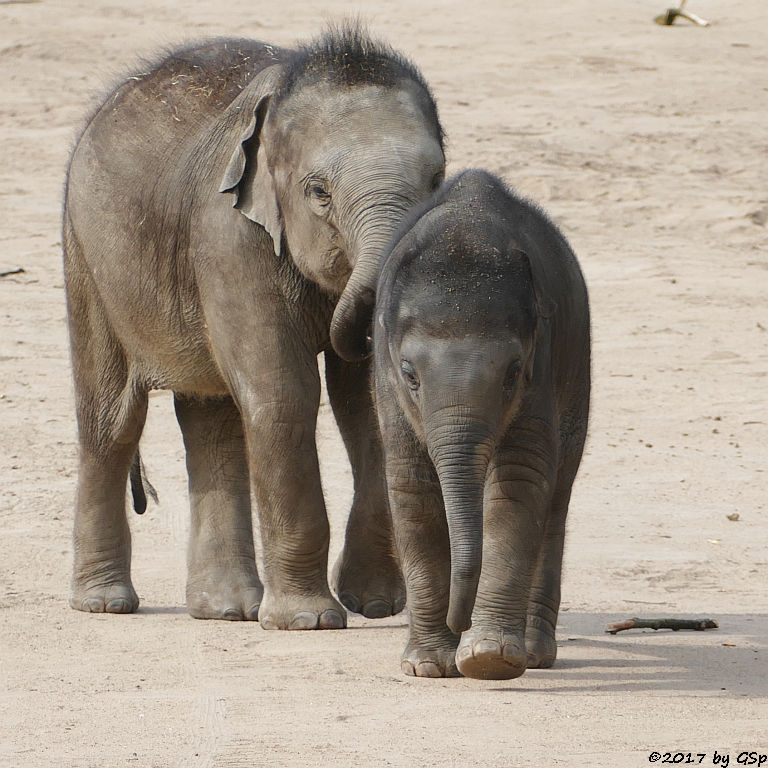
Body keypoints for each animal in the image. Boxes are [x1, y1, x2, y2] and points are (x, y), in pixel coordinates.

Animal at [63, 28, 448, 632]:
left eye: (437, 180)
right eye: (319, 192)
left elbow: (364, 403)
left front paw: (376, 604)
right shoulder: (230, 239)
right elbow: (283, 394)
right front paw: (309, 621)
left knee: (211, 415)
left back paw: (226, 610)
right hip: (88, 260)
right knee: (112, 420)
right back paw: (106, 603)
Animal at [376, 170, 592, 680]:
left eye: (512, 373)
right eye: (410, 374)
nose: (461, 621)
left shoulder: (541, 364)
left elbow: (521, 478)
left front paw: (489, 659)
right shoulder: (385, 379)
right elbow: (411, 484)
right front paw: (429, 665)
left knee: (557, 495)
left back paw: (535, 653)